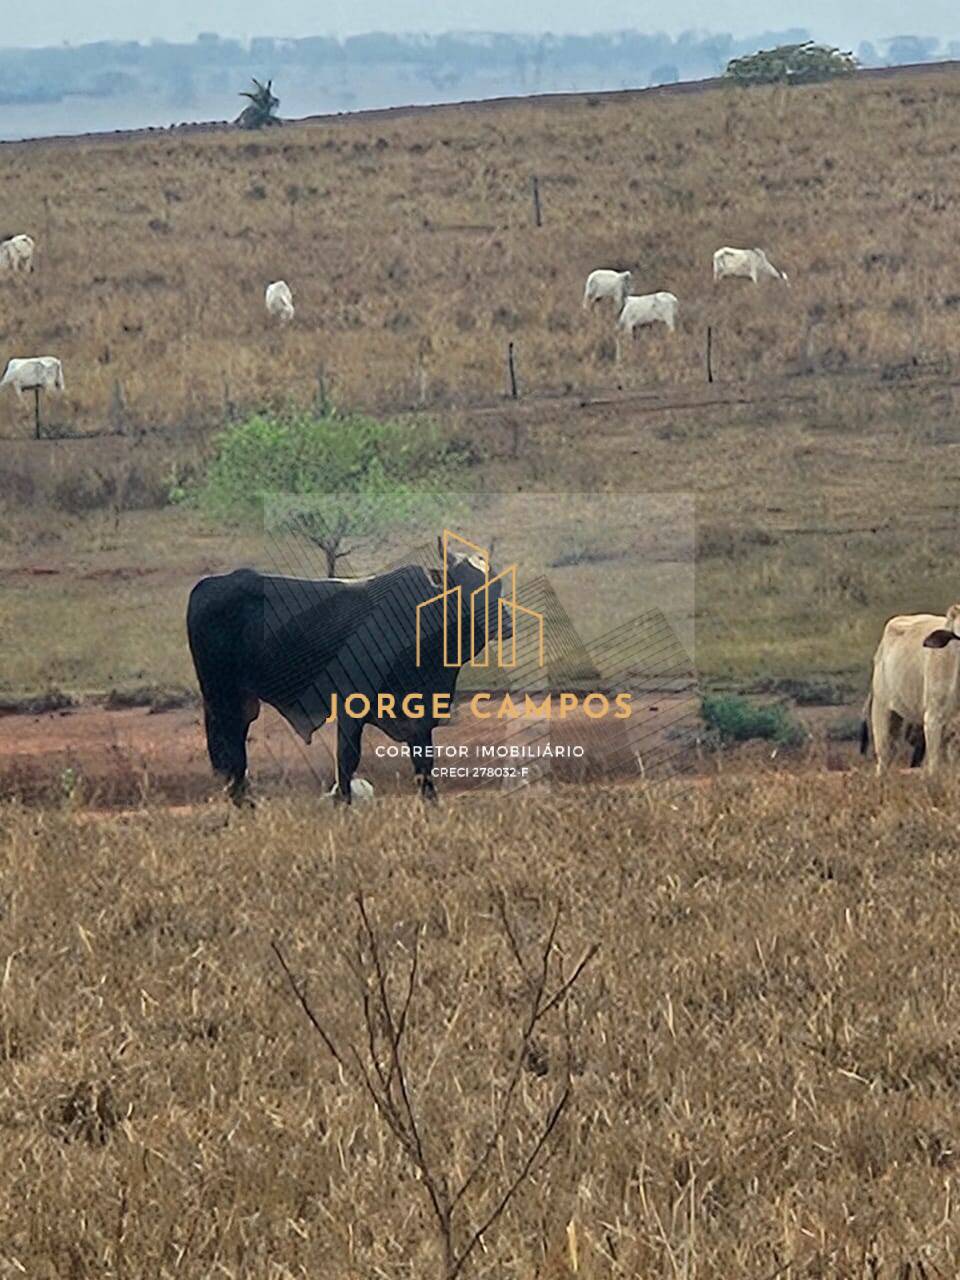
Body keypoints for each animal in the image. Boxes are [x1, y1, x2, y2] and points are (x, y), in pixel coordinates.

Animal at [189, 537, 514, 798]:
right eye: (464, 585)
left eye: (497, 585)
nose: (504, 624)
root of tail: (207, 585)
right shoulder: (351, 706)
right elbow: (347, 762)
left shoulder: (419, 713)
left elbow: (424, 764)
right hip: (222, 699)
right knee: (232, 757)